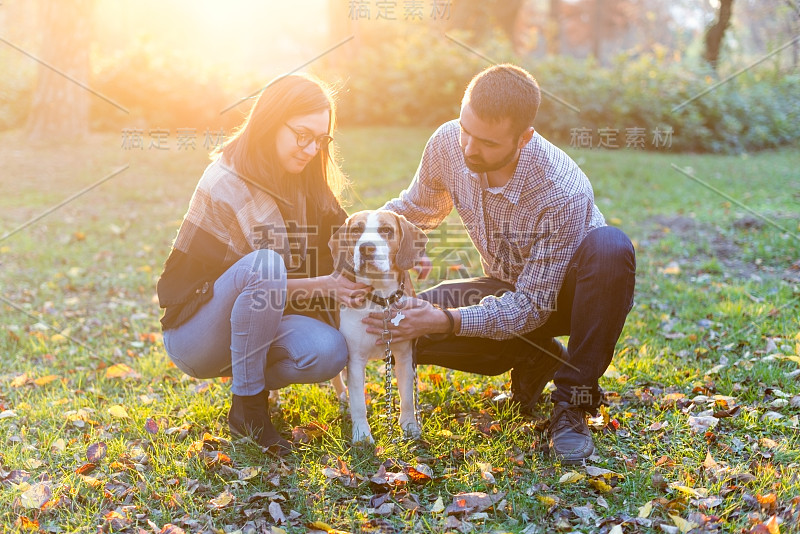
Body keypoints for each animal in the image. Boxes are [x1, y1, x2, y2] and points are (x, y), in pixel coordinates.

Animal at [328, 209, 428, 444]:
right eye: (356, 230)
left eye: (386, 230)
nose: (366, 247)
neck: (381, 300)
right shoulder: (355, 360)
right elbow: (359, 404)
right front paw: (362, 435)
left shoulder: (404, 356)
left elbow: (407, 398)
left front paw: (409, 427)